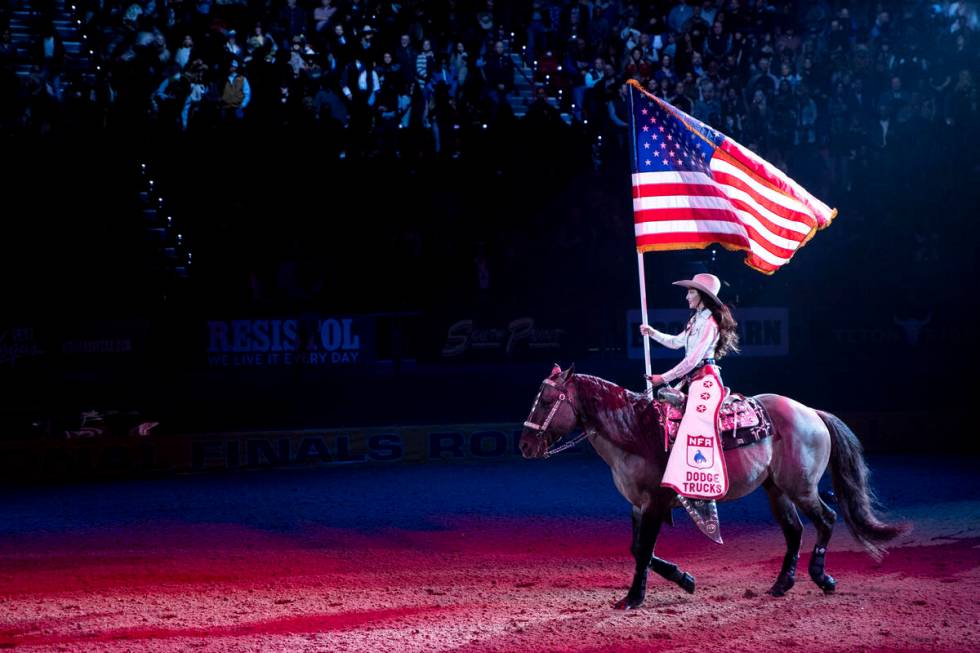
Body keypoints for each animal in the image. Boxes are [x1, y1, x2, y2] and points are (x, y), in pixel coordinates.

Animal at [516, 364, 908, 608]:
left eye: (547, 400)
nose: (524, 446)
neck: (636, 431)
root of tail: (811, 412)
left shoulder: (655, 503)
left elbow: (643, 550)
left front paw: (633, 598)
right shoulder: (637, 504)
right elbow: (637, 548)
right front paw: (684, 578)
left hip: (802, 487)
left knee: (825, 520)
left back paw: (822, 578)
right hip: (776, 489)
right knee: (794, 531)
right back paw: (781, 584)